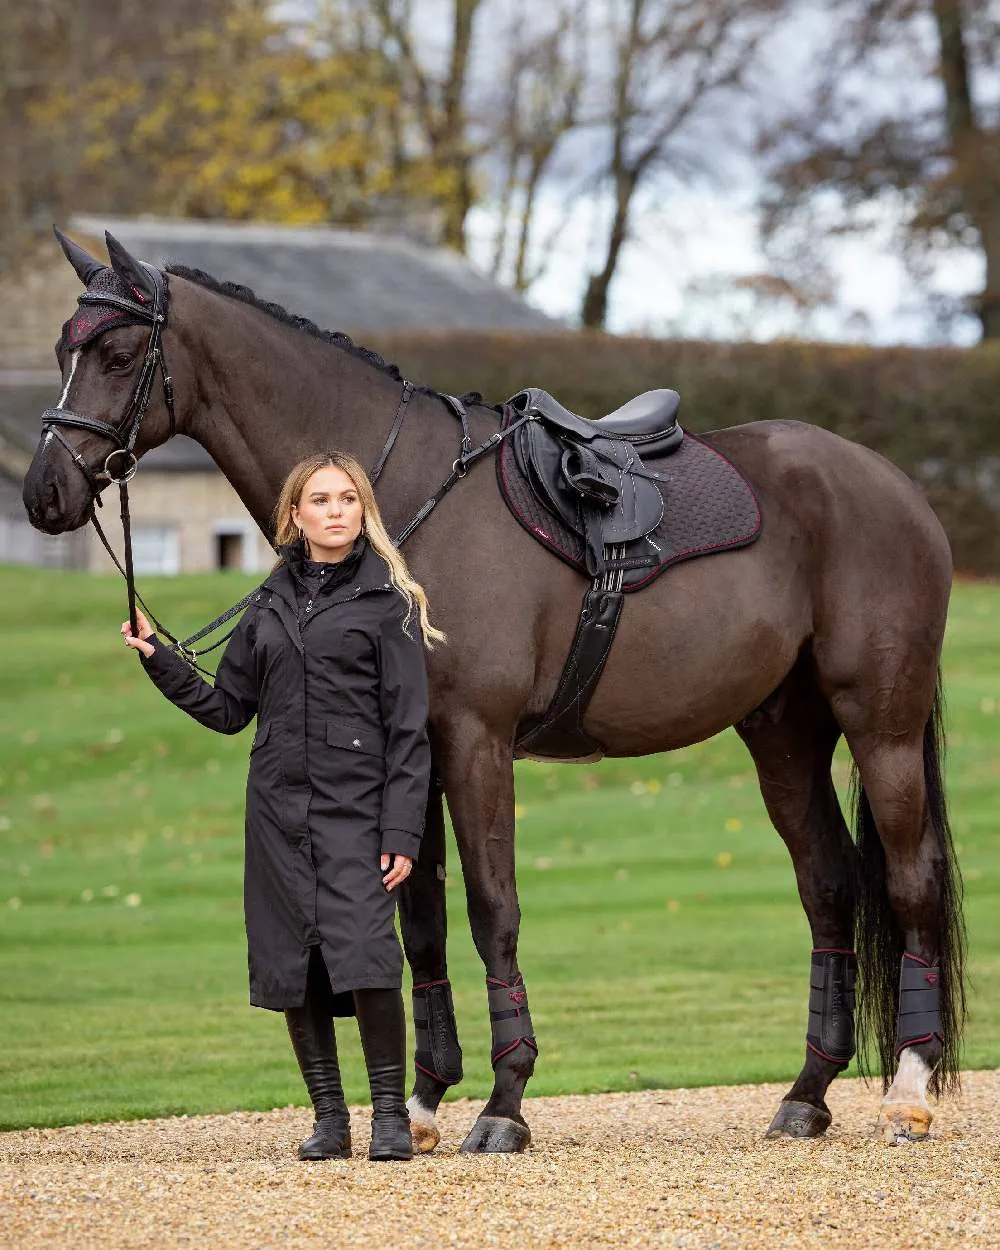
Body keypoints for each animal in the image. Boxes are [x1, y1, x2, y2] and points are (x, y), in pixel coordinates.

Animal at [19, 232, 965, 1150]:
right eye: (63, 346)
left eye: (116, 351)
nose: (42, 491)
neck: (399, 499)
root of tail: (893, 484)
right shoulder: (416, 752)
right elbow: (422, 920)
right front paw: (426, 1098)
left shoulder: (475, 741)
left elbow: (490, 910)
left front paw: (504, 1102)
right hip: (782, 734)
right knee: (830, 887)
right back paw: (806, 1094)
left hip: (879, 724)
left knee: (909, 881)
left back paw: (909, 1090)